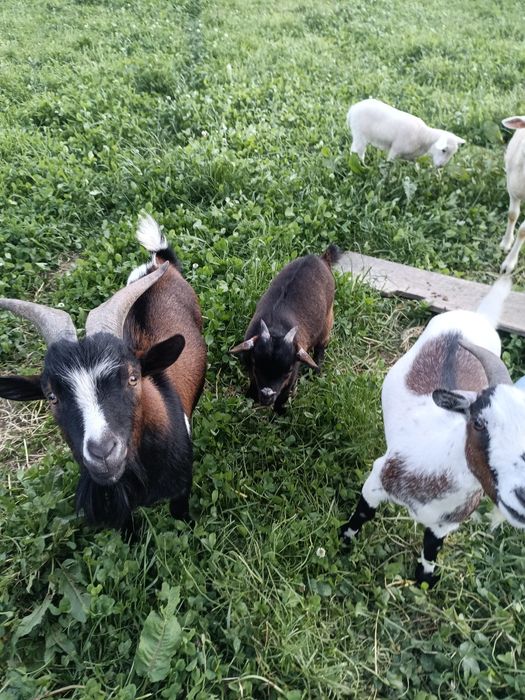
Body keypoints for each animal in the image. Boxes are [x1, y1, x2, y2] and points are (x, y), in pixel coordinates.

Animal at [230, 246, 341, 414]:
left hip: (328, 317)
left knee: (322, 345)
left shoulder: (292, 374)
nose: (267, 395)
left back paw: (317, 372)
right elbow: (253, 381)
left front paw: (280, 411)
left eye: (287, 371)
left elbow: (284, 394)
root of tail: (321, 258)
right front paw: (250, 396)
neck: (276, 329)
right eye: (256, 365)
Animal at [339, 276, 525, 587]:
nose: (522, 496)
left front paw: (425, 579)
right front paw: (343, 541)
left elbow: (431, 548)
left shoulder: (446, 523)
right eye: (478, 422)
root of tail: (479, 316)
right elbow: (362, 514)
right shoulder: (376, 480)